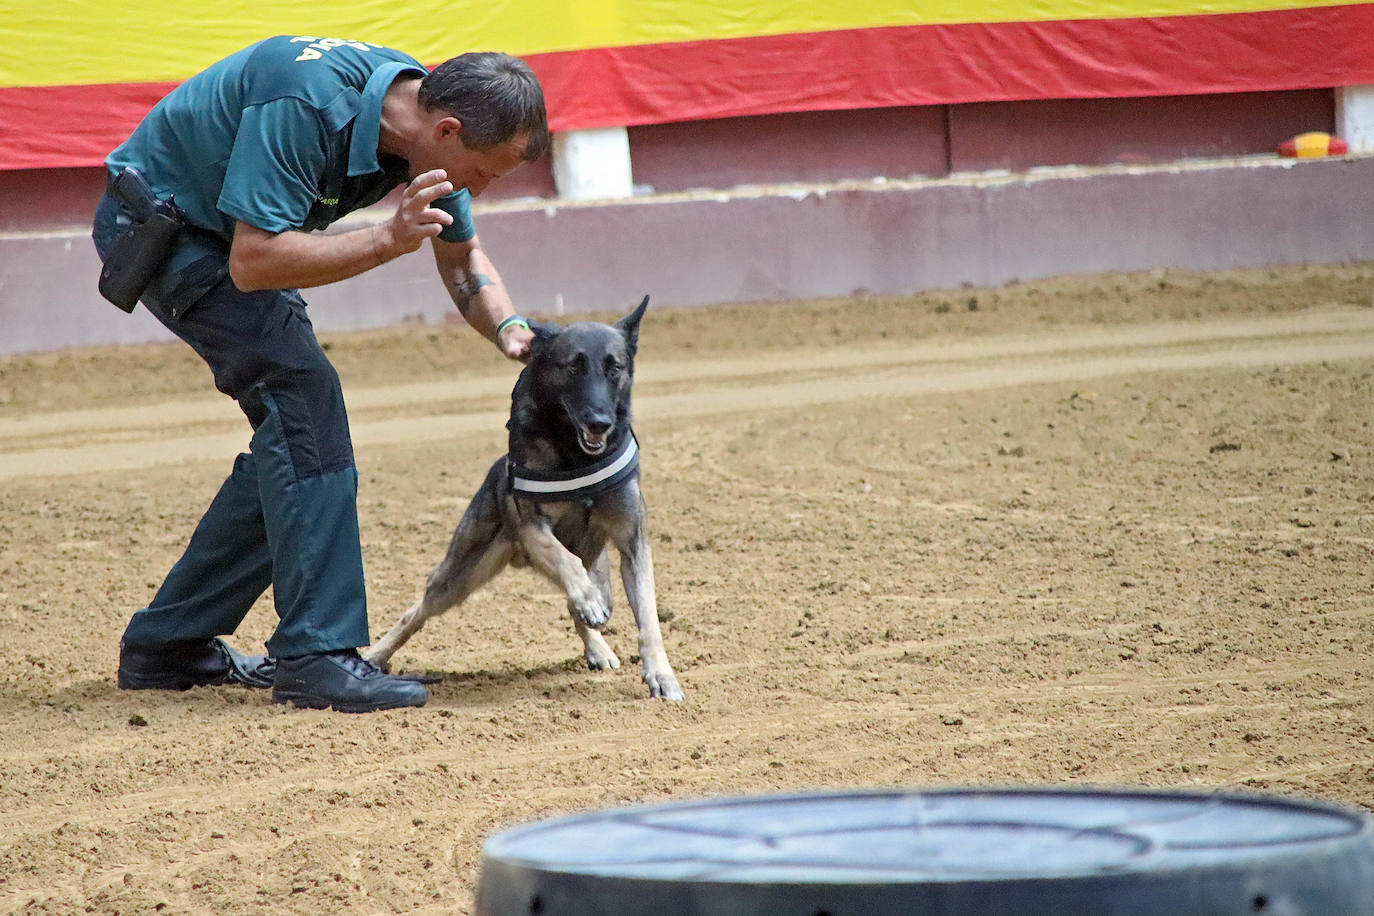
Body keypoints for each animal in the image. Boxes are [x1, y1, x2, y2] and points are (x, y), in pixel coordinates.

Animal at [368, 298, 684, 697]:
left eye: (614, 368)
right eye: (573, 366)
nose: (599, 422)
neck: (575, 455)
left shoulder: (633, 543)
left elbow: (648, 617)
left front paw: (661, 674)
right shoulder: (534, 529)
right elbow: (564, 559)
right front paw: (585, 598)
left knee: (585, 607)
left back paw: (597, 645)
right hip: (458, 576)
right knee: (417, 611)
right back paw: (375, 655)